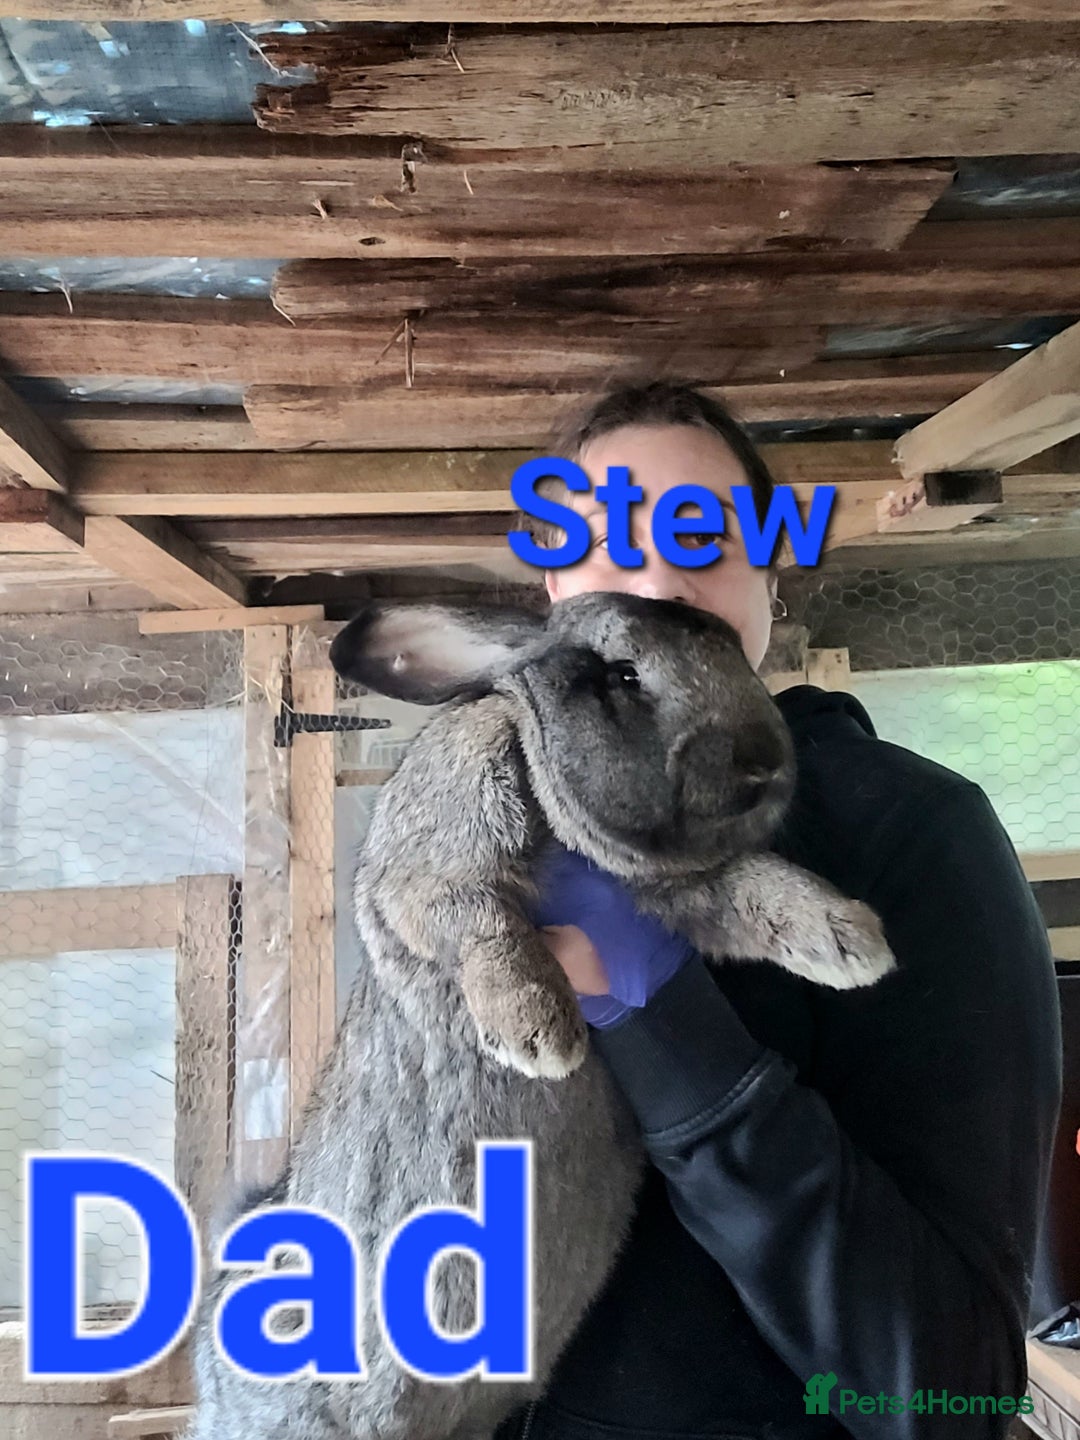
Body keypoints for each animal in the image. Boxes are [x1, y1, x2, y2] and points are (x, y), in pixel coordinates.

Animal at [183, 590, 896, 1440]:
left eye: (732, 651)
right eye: (622, 675)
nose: (761, 761)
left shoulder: (681, 895)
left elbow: (759, 889)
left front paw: (853, 942)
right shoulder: (426, 875)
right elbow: (484, 922)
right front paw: (540, 1034)